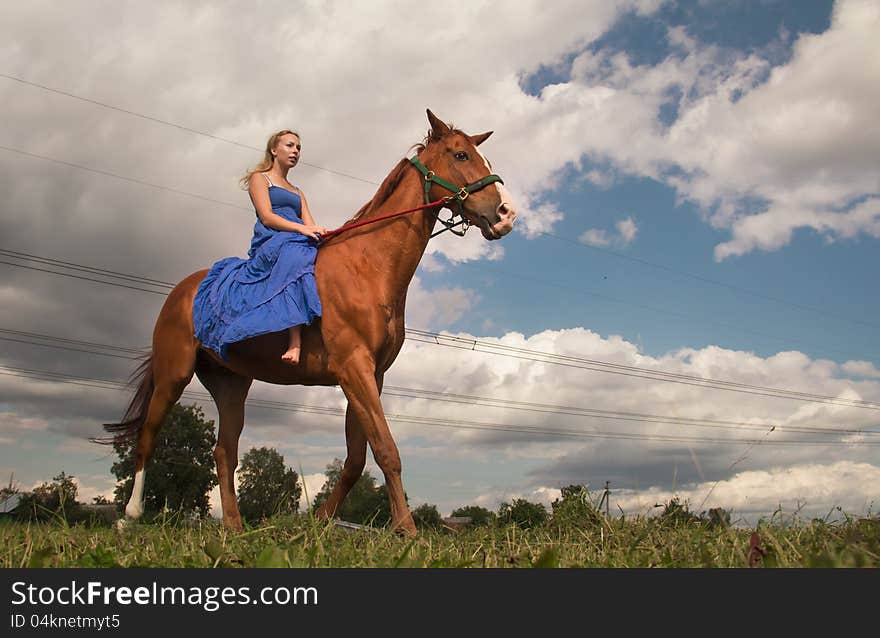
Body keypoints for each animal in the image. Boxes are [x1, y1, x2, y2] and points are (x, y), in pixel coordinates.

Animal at [103, 109, 516, 536]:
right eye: (460, 155)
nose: (505, 214)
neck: (366, 266)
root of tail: (181, 291)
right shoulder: (354, 369)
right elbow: (386, 450)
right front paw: (407, 531)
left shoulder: (370, 376)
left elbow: (355, 461)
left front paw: (320, 521)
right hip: (173, 375)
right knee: (147, 438)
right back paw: (129, 517)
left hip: (231, 384)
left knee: (224, 451)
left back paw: (234, 526)